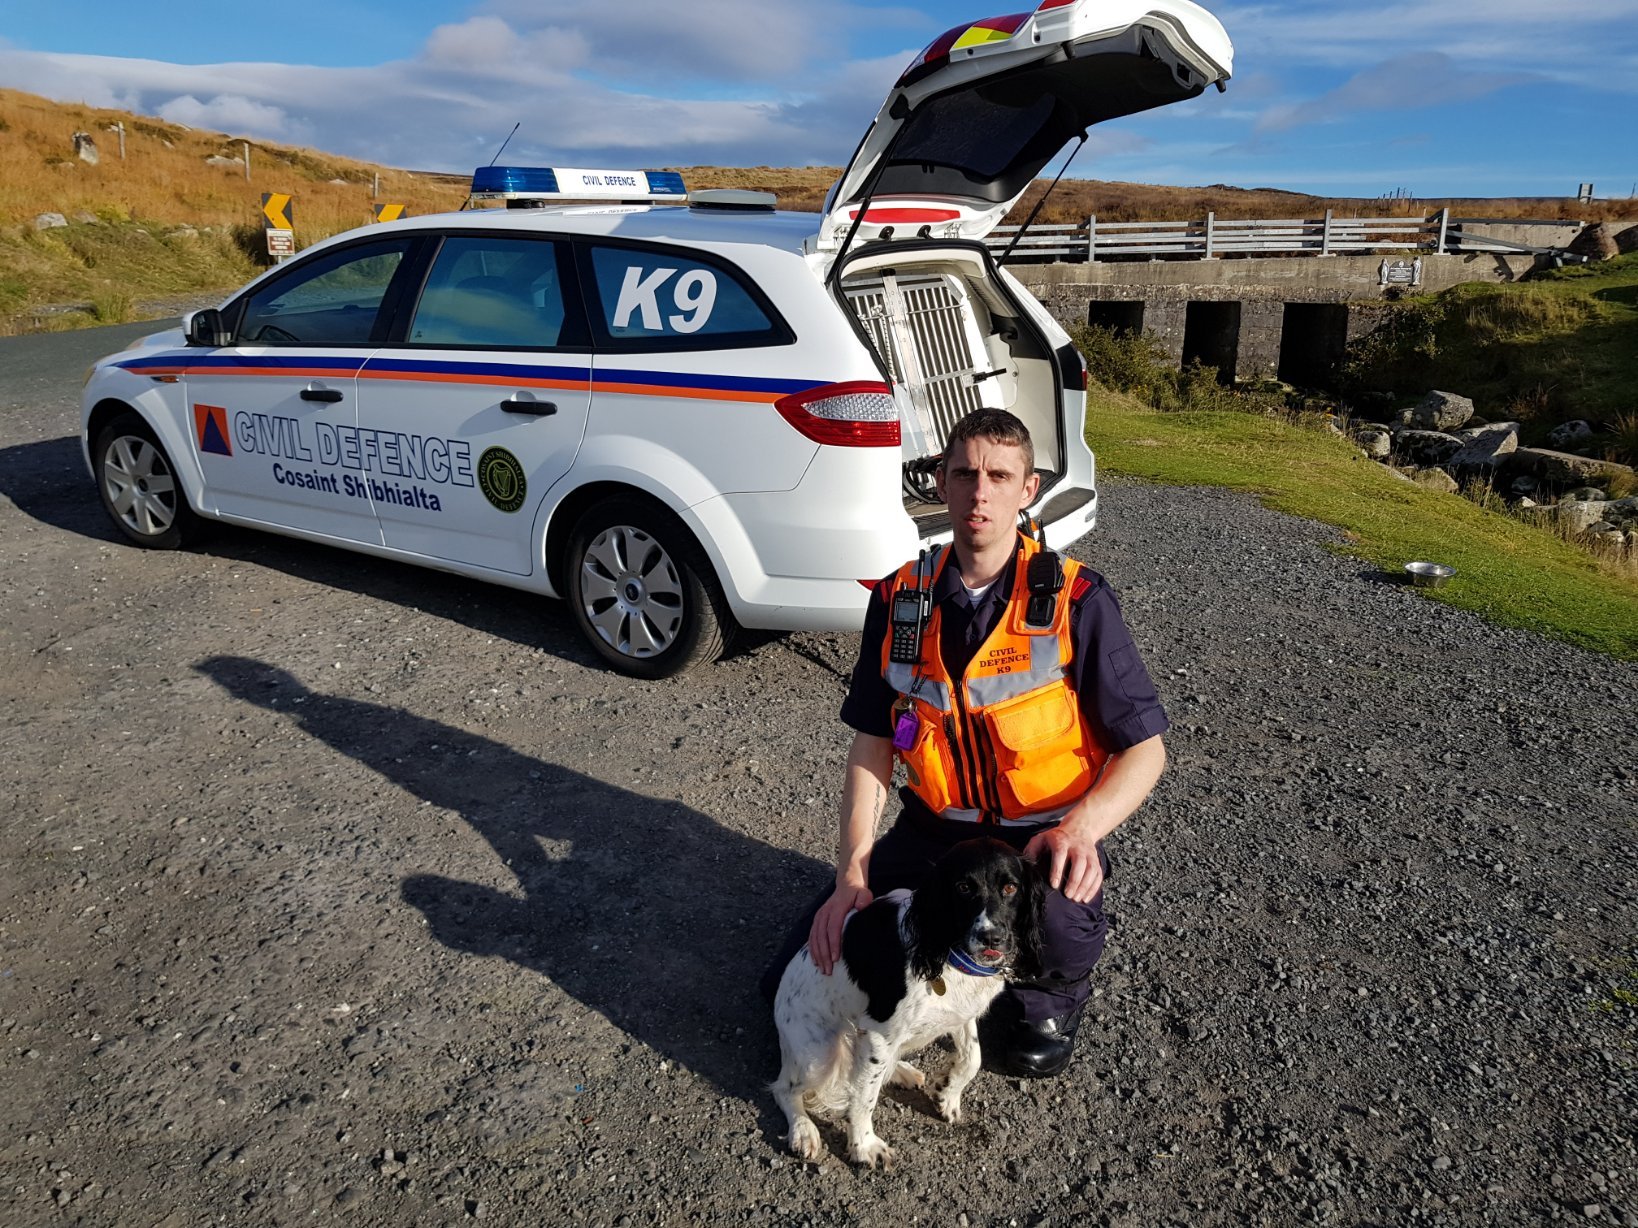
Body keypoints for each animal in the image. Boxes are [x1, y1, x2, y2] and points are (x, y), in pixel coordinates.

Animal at [769, 838, 1048, 1172]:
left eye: (1010, 887)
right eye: (963, 887)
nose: (991, 938)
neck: (948, 950)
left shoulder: (961, 1014)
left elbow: (974, 1058)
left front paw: (948, 1094)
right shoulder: (878, 1032)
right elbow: (864, 1099)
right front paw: (864, 1146)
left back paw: (902, 1071)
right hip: (821, 1054)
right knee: (785, 1088)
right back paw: (803, 1130)